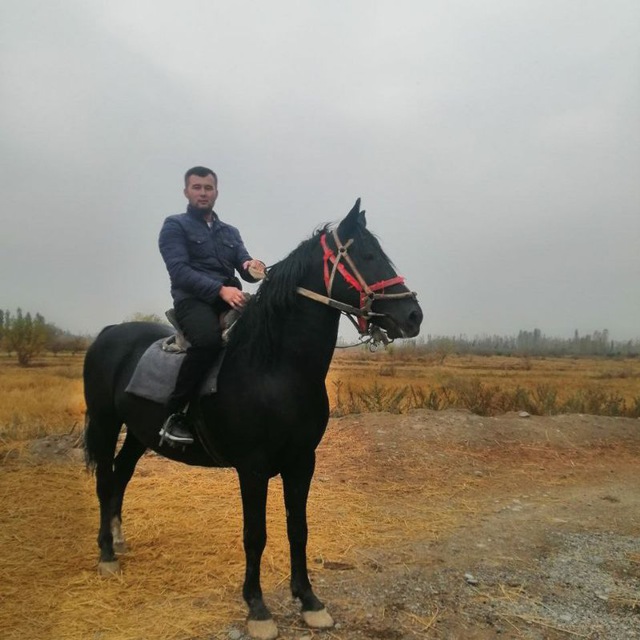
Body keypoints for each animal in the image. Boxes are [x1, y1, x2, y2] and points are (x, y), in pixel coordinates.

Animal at [83, 199, 423, 640]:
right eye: (367, 256)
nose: (413, 315)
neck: (275, 368)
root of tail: (108, 333)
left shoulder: (302, 463)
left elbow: (298, 529)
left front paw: (309, 601)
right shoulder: (253, 467)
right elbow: (255, 535)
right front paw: (258, 609)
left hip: (140, 433)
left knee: (121, 475)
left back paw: (119, 540)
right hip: (106, 424)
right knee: (106, 481)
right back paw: (107, 554)